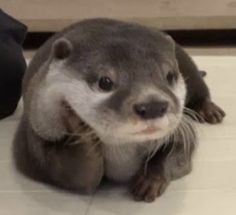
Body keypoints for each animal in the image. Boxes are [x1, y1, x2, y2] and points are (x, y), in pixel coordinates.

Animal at [12, 18, 225, 202]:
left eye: (170, 75)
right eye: (105, 82)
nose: (153, 106)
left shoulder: (181, 129)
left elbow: (178, 154)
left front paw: (150, 180)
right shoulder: (34, 138)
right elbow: (76, 174)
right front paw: (79, 129)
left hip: (185, 60)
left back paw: (210, 110)